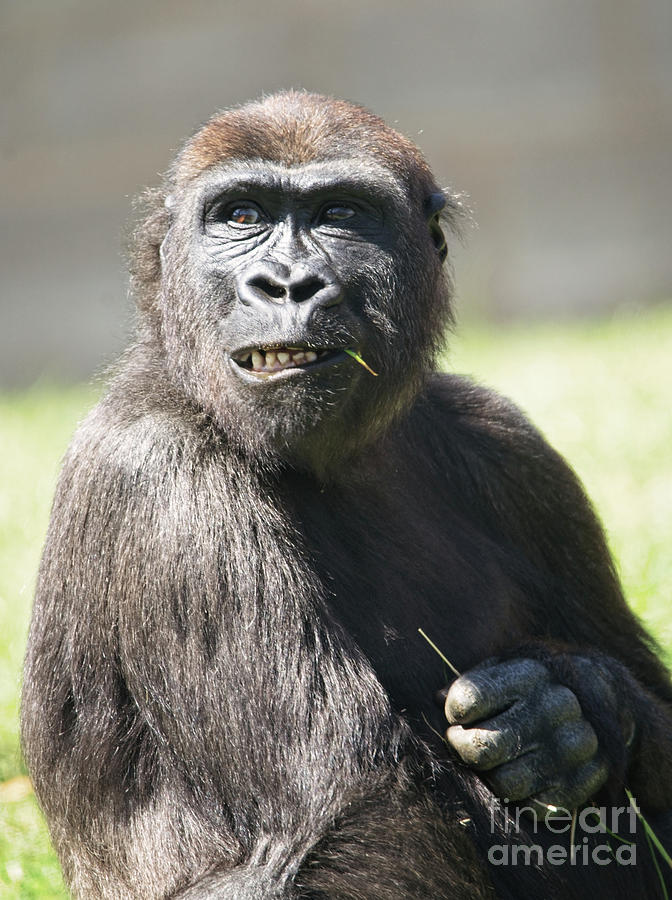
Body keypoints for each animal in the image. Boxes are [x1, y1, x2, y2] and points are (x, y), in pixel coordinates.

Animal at [23, 93, 672, 900]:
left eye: (340, 213)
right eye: (240, 215)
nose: (287, 283)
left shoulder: (518, 455)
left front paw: (573, 711)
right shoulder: (161, 478)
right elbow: (371, 818)